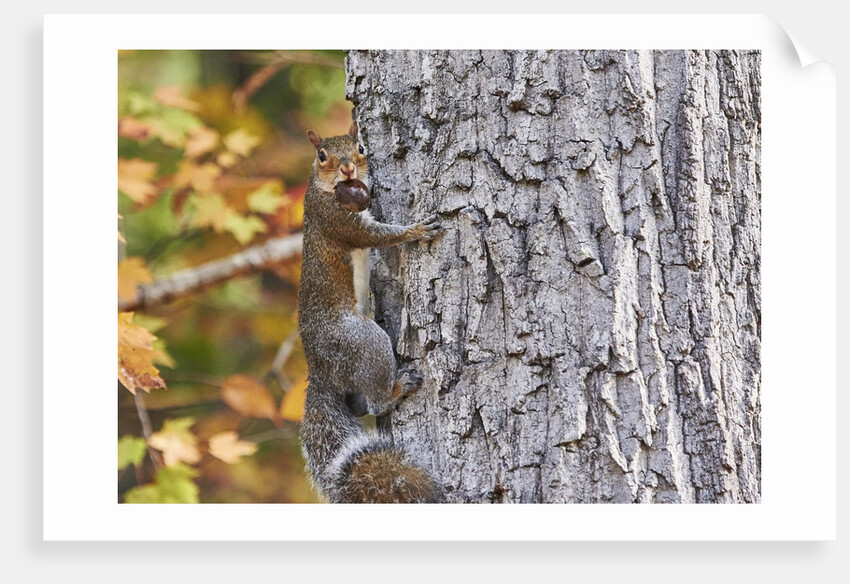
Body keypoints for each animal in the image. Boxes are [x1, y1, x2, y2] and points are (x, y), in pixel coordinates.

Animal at [297, 121, 444, 503]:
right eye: (322, 155)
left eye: (360, 147)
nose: (348, 169)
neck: (326, 189)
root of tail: (320, 371)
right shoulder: (338, 220)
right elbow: (377, 236)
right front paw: (417, 230)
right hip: (362, 341)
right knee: (377, 403)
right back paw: (397, 389)